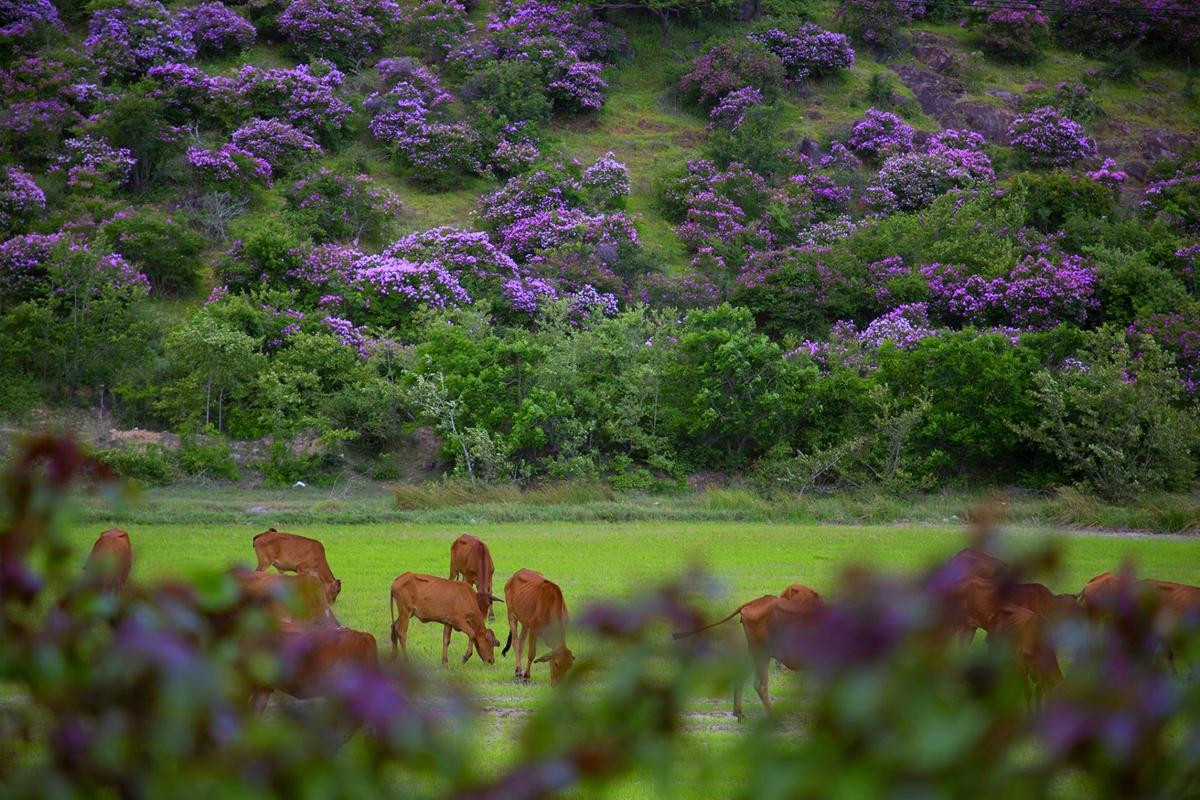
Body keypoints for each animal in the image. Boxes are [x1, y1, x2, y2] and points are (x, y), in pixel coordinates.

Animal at [676, 582, 825, 719]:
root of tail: (759, 601)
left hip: (754, 652)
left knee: (741, 678)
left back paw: (738, 712)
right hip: (761, 653)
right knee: (760, 685)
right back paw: (772, 716)